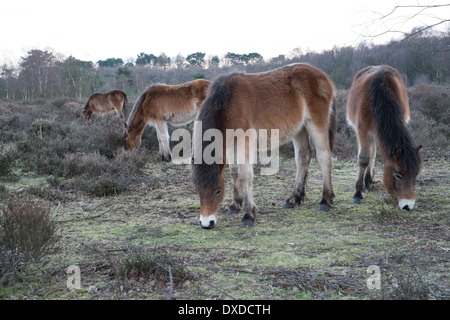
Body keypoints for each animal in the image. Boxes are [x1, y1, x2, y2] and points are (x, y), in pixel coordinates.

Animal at [192, 62, 336, 229]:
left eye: (218, 191)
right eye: (198, 189)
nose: (206, 223)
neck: (229, 102)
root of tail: (323, 76)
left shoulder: (244, 139)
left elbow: (244, 174)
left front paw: (249, 215)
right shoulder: (230, 144)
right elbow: (234, 172)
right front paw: (235, 204)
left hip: (316, 125)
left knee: (324, 157)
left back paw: (325, 200)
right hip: (300, 129)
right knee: (303, 158)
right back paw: (293, 199)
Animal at [348, 65, 422, 210]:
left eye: (415, 175)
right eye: (398, 175)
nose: (407, 206)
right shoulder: (363, 131)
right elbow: (364, 159)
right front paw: (358, 193)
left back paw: (368, 181)